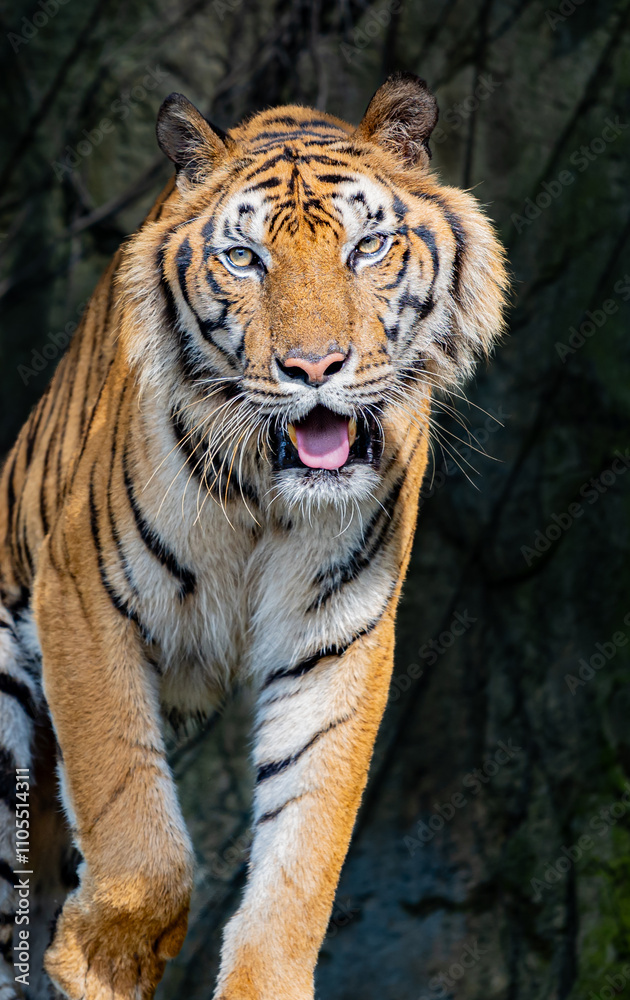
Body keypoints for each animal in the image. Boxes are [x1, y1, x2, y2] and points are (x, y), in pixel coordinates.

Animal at [0, 72, 508, 999]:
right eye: (245, 259)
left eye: (367, 249)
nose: (314, 369)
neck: (266, 497)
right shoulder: (83, 596)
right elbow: (129, 804)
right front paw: (105, 954)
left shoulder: (336, 640)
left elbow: (304, 853)